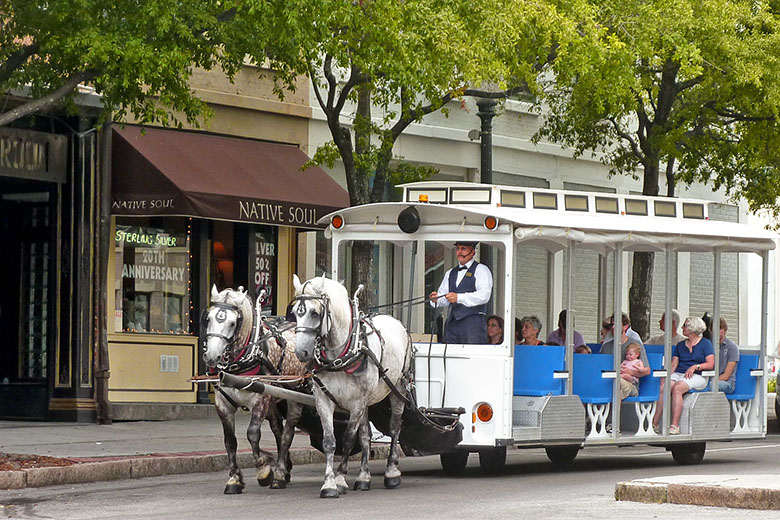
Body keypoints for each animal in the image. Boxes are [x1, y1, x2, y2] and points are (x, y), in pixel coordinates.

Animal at [201, 286, 304, 494]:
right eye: (208, 318)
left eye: (233, 323)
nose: (212, 356)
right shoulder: (222, 404)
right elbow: (230, 441)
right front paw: (234, 479)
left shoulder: (260, 400)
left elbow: (253, 434)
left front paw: (263, 470)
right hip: (274, 399)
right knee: (278, 429)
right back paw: (285, 468)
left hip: (294, 396)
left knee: (287, 433)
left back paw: (279, 474)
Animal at [294, 274, 414, 498]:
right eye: (296, 312)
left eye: (315, 312)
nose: (301, 352)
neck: (339, 355)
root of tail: (395, 321)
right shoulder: (323, 400)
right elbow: (331, 441)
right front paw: (329, 483)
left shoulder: (357, 402)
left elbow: (349, 439)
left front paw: (340, 479)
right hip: (368, 401)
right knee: (366, 435)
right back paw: (363, 477)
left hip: (397, 389)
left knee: (395, 428)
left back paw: (392, 472)